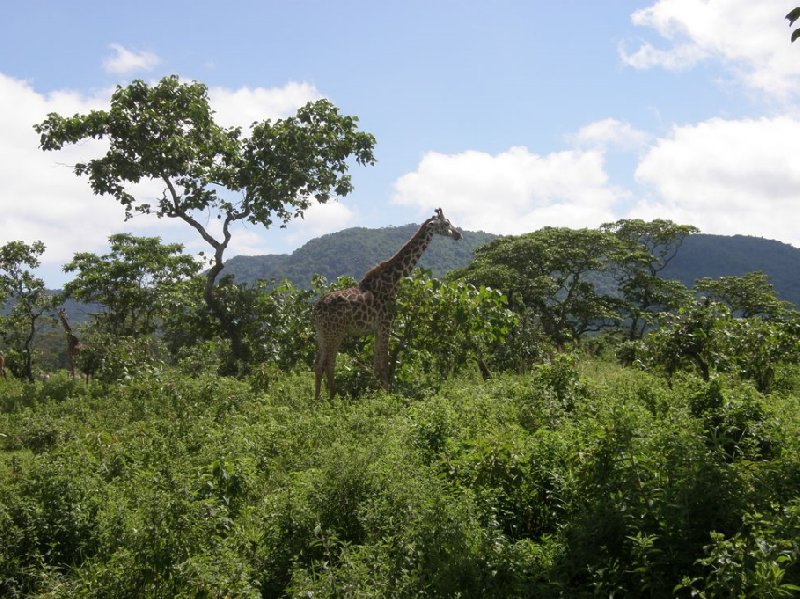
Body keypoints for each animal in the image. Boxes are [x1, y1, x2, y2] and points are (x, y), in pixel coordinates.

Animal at [312, 209, 462, 400]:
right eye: (446, 224)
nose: (458, 235)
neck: (393, 281)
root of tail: (316, 310)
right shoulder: (386, 323)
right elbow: (384, 362)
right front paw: (386, 395)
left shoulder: (377, 328)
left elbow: (377, 364)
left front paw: (375, 393)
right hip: (336, 332)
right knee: (329, 363)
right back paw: (332, 398)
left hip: (322, 334)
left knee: (318, 364)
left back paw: (317, 399)